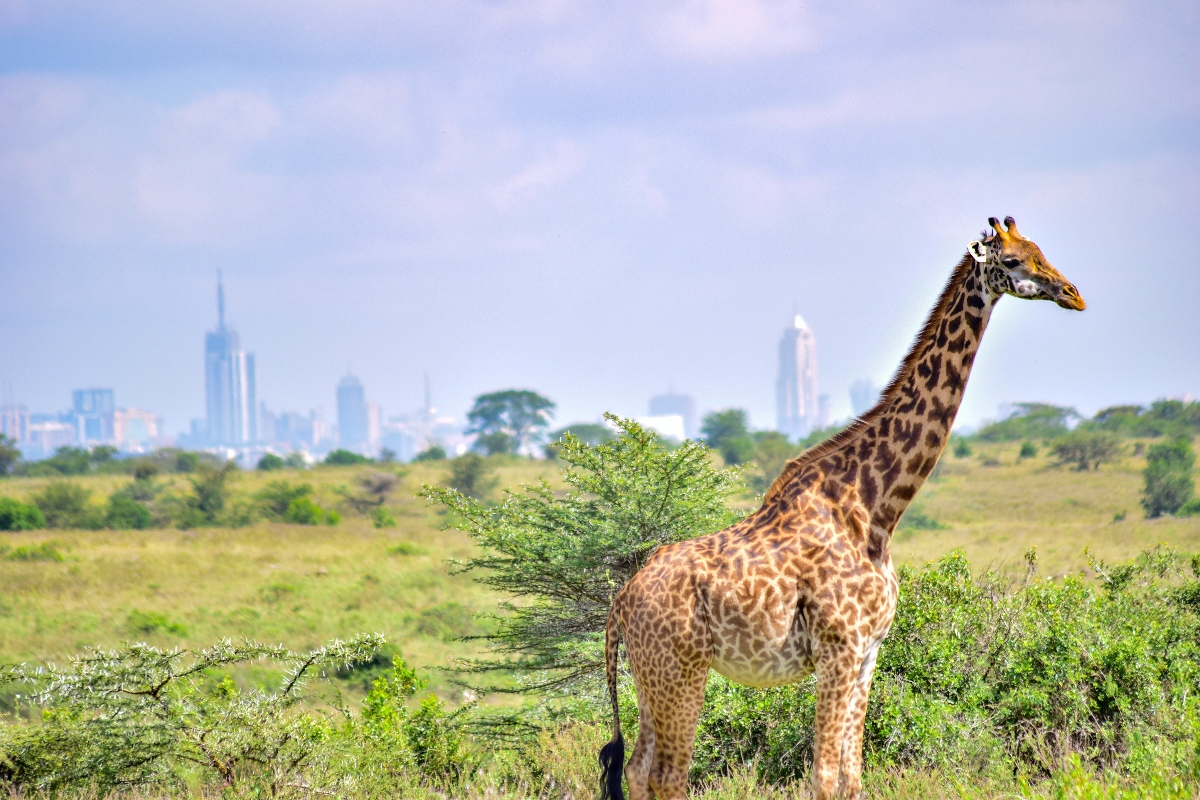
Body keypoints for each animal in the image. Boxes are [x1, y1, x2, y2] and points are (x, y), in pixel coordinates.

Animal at [598, 217, 1085, 800]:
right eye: (1012, 262)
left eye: (1040, 250)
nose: (1073, 294)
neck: (876, 507)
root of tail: (621, 603)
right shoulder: (840, 647)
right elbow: (826, 777)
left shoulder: (868, 652)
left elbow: (853, 776)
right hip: (681, 669)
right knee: (669, 775)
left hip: (650, 677)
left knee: (637, 768)